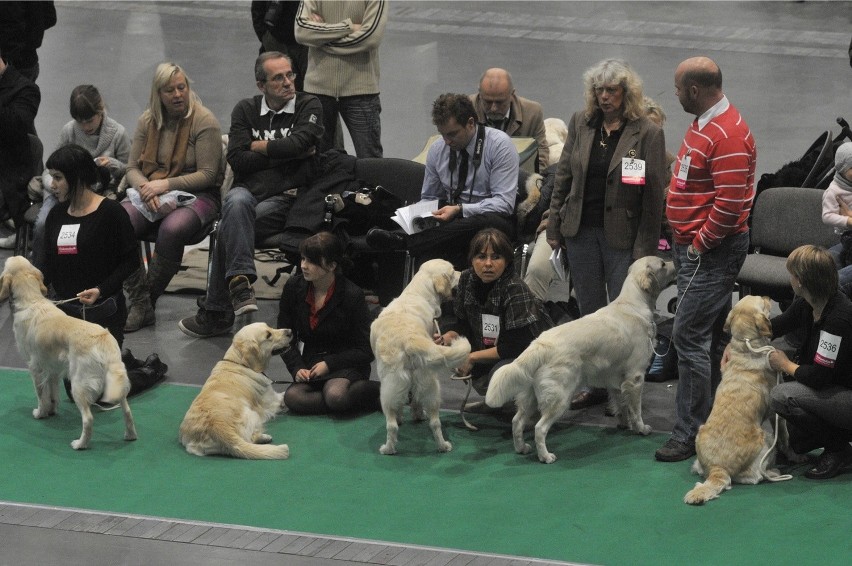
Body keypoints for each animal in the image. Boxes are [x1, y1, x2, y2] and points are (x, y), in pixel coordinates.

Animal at [0, 255, 136, 450]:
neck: (31, 300)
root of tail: (103, 339)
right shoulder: (52, 368)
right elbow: (53, 393)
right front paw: (52, 410)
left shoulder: (35, 368)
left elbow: (41, 394)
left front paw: (40, 413)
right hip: (117, 382)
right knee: (127, 411)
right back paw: (130, 435)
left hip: (78, 384)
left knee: (88, 419)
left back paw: (80, 444)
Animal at [180, 324, 292, 462]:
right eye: (268, 335)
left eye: (270, 327)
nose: (290, 331)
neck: (241, 363)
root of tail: (217, 428)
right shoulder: (273, 401)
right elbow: (284, 395)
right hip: (252, 413)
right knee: (250, 438)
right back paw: (264, 437)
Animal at [370, 260, 470, 458]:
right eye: (452, 271)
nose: (463, 272)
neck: (417, 293)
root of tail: (409, 340)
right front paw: (414, 416)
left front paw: (406, 417)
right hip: (429, 384)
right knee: (435, 422)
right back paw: (443, 446)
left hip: (387, 388)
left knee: (392, 424)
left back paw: (388, 448)